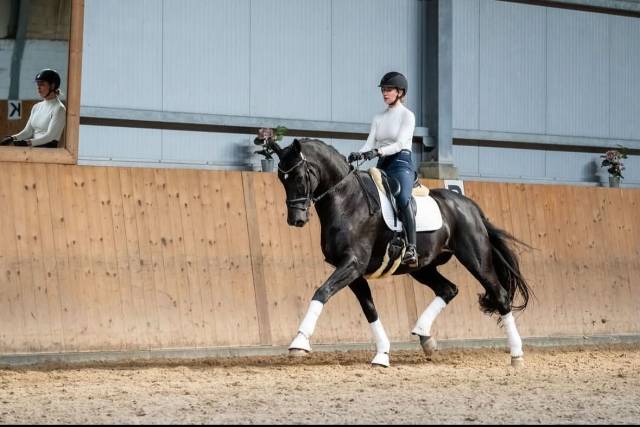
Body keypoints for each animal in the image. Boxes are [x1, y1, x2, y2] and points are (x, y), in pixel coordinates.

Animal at [266, 137, 532, 368]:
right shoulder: (353, 271)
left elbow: (322, 292)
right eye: (281, 178)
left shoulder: (353, 264)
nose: (296, 219)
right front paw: (382, 354)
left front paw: (299, 342)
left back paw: (516, 355)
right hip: (422, 267)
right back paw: (425, 337)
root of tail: (469, 206)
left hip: (475, 259)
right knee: (449, 289)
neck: (347, 201)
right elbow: (369, 309)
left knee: (499, 295)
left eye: (299, 176)